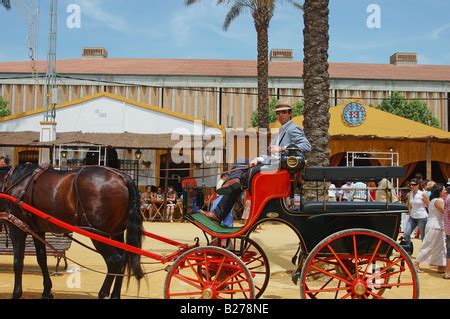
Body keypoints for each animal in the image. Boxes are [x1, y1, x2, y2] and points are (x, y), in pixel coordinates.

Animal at [0, 164, 143, 302]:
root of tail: (123, 177)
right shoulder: (37, 231)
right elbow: (41, 259)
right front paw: (47, 291)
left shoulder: (17, 227)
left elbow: (18, 262)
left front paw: (16, 293)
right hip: (116, 233)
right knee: (124, 259)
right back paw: (115, 295)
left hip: (98, 234)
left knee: (114, 260)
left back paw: (103, 293)